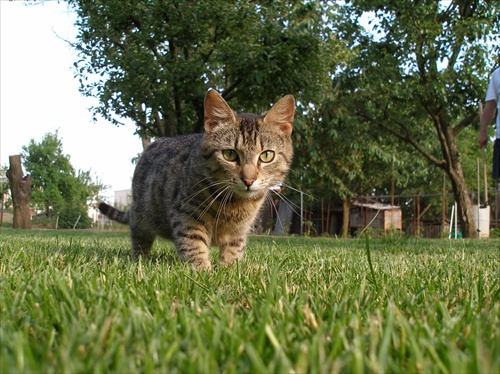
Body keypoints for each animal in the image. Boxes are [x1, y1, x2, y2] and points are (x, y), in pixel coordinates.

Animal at [98, 89, 294, 270]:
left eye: (267, 155)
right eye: (229, 154)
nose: (248, 180)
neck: (234, 204)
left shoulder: (239, 230)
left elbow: (234, 249)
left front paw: (230, 268)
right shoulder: (186, 215)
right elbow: (194, 244)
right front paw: (203, 270)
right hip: (143, 215)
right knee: (139, 237)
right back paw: (140, 260)